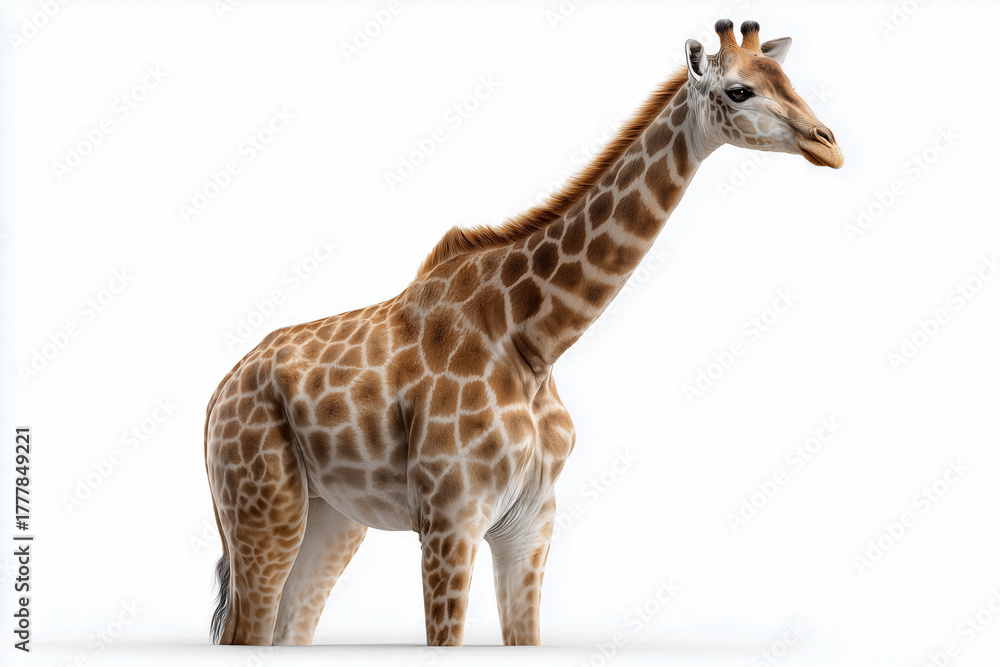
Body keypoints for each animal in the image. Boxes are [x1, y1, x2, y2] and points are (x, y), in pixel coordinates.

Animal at [204, 19, 842, 647]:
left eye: (786, 78)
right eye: (739, 90)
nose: (827, 144)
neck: (535, 340)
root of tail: (220, 391)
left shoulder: (530, 524)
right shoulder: (449, 521)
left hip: (332, 519)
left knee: (289, 625)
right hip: (262, 512)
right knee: (245, 628)